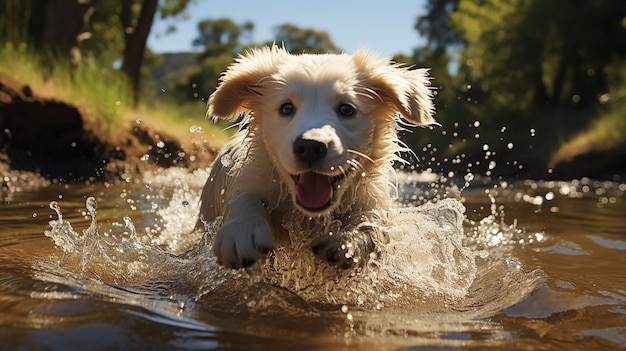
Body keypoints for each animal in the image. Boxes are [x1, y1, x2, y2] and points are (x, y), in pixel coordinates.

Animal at [197, 46, 432, 270]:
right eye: (286, 108)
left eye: (346, 109)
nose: (310, 146)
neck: (308, 215)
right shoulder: (251, 178)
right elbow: (244, 197)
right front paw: (242, 230)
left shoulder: (371, 198)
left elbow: (372, 222)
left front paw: (348, 242)